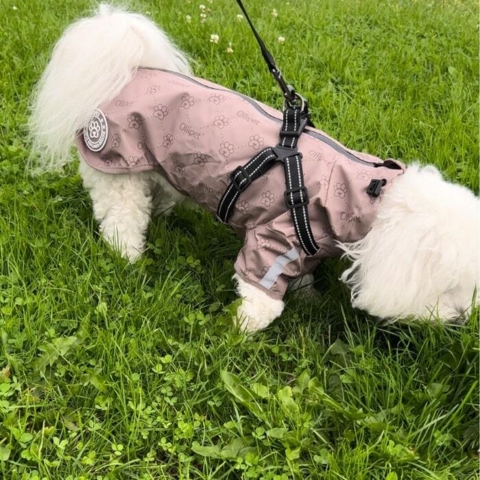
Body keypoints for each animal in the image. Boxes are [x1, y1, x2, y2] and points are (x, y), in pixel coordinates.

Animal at [29, 5, 476, 332]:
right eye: (446, 288)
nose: (461, 318)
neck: (364, 191)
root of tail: (127, 72)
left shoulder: (304, 242)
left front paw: (306, 295)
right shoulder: (273, 239)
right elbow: (261, 297)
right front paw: (239, 330)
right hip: (115, 168)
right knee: (121, 218)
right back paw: (128, 257)